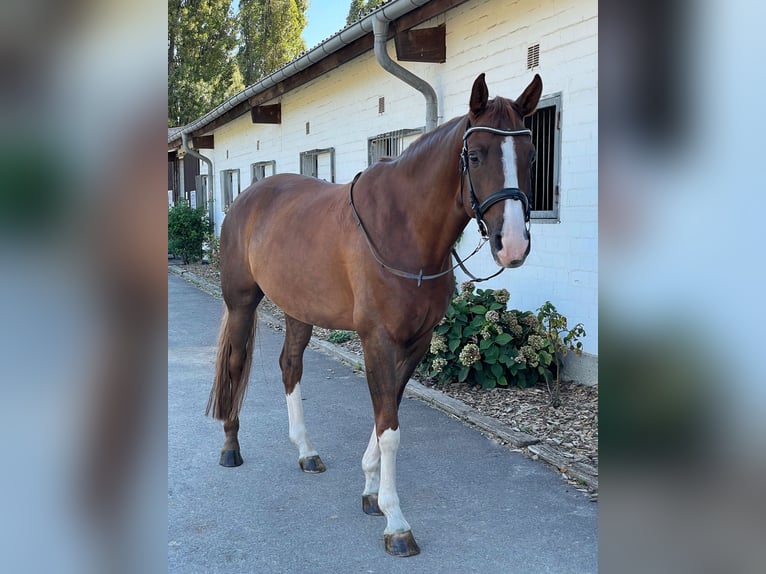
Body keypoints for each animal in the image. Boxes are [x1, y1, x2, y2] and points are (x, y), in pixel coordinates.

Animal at [207, 73, 544, 560]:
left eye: (530, 155)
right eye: (477, 155)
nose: (513, 244)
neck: (405, 230)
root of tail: (247, 198)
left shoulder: (416, 341)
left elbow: (389, 413)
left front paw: (369, 490)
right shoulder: (377, 338)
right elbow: (390, 428)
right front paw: (396, 522)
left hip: (298, 309)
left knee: (290, 367)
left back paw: (306, 451)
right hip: (241, 302)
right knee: (236, 364)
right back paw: (231, 446)